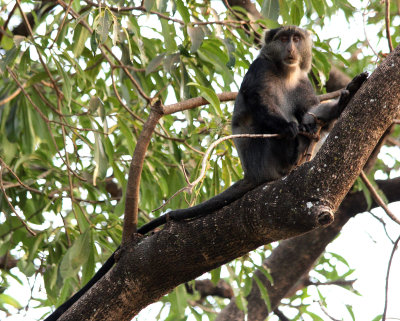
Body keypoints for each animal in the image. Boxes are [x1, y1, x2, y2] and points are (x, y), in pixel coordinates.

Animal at [44, 26, 368, 318]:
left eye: (297, 39)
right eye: (283, 38)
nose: (290, 47)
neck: (286, 74)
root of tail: (256, 174)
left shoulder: (303, 81)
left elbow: (310, 108)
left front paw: (341, 101)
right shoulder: (260, 70)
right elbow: (255, 99)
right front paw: (290, 126)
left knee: (310, 121)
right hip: (262, 153)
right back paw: (293, 143)